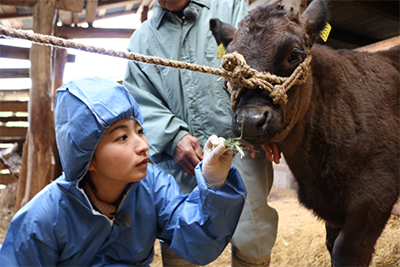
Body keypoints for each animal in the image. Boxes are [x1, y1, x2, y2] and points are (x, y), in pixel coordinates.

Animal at [211, 0, 398, 267]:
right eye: (228, 67)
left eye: (294, 54)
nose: (251, 120)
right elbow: (331, 243)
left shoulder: (375, 197)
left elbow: (346, 251)